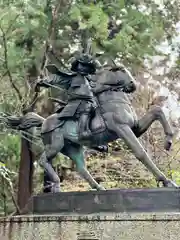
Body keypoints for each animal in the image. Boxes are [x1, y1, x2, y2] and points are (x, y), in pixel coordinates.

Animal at [4, 65, 178, 191]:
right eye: (121, 70)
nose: (132, 85)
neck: (114, 100)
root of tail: (44, 121)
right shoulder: (122, 128)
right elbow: (140, 153)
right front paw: (166, 181)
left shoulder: (135, 127)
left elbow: (157, 111)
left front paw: (168, 140)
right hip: (55, 145)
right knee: (43, 160)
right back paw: (57, 184)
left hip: (73, 148)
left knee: (81, 169)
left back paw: (99, 188)